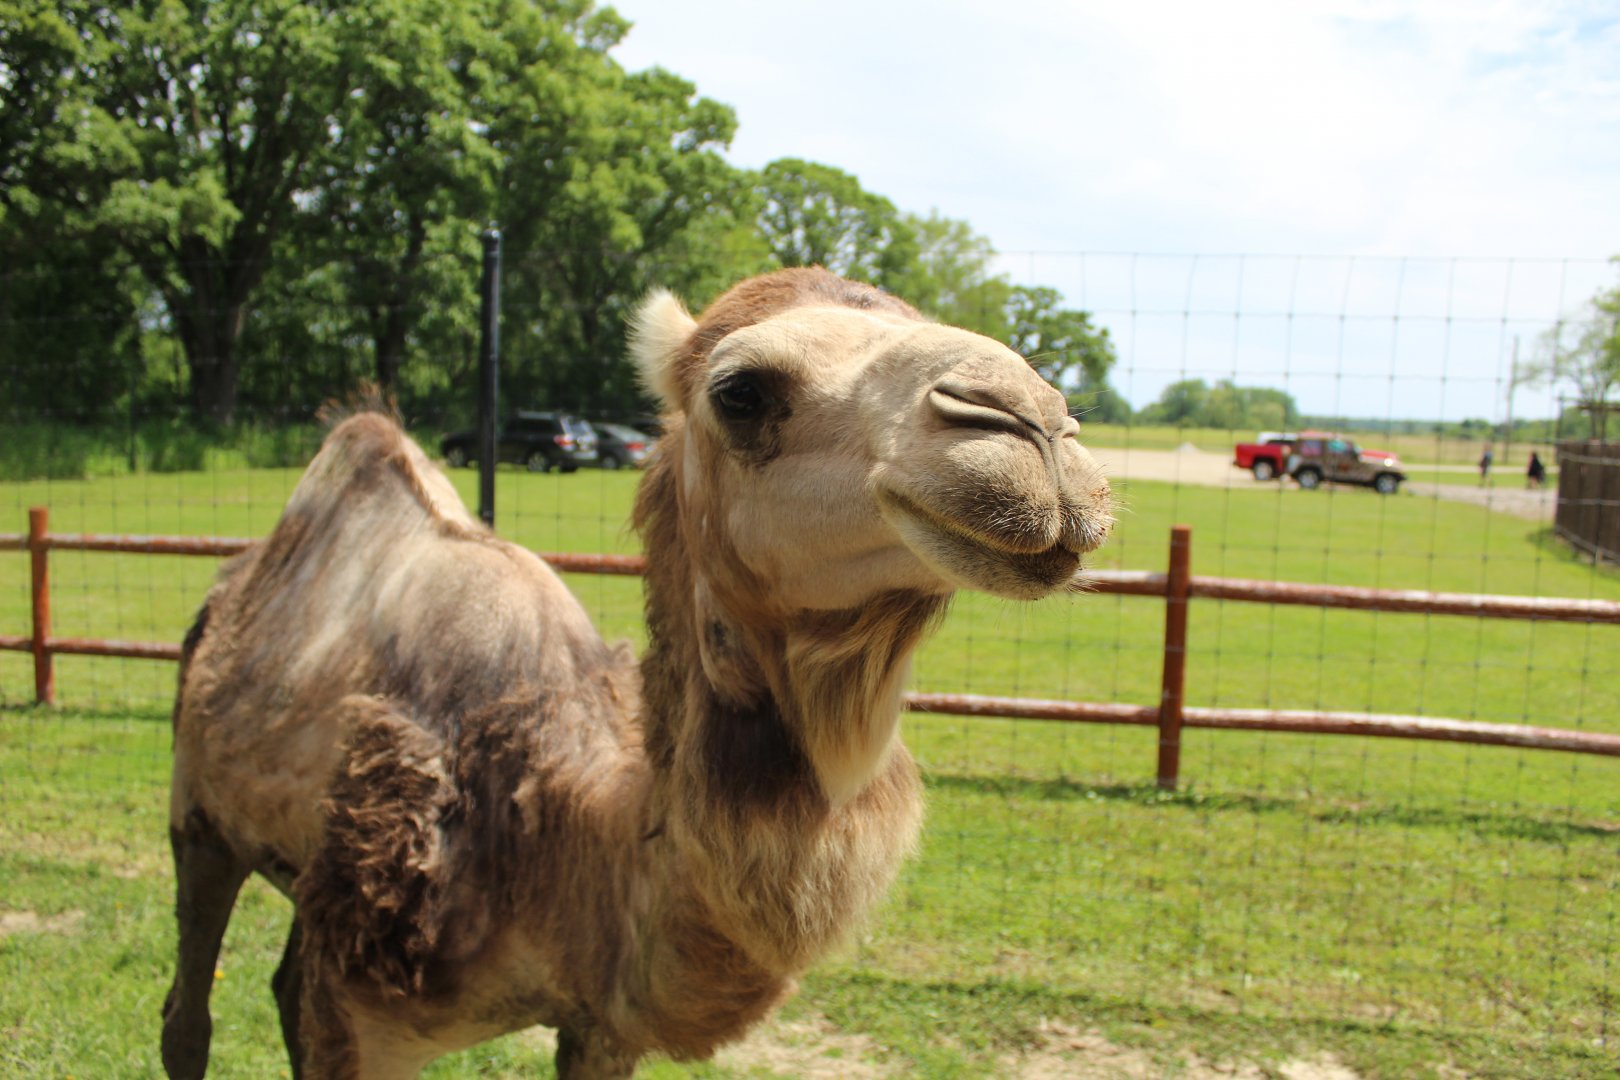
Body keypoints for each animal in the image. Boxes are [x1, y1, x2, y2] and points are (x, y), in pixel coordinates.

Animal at [162, 267, 1113, 1079]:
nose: (1033, 425)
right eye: (740, 391)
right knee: (189, 1008)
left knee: (281, 985)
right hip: (199, 815)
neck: (556, 832)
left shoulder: (600, 1027)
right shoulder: (365, 1015)